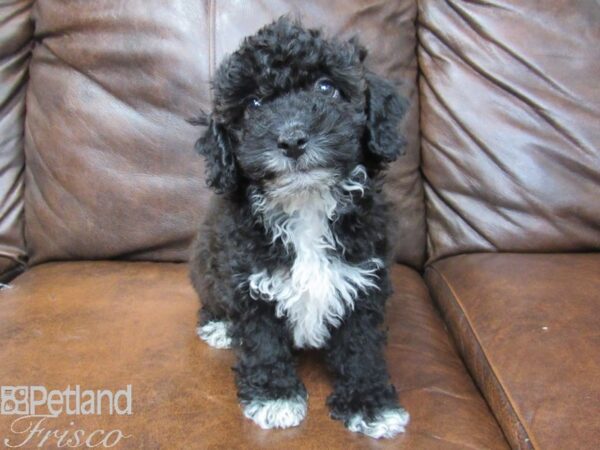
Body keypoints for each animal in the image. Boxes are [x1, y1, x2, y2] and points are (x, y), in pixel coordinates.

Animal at [190, 17, 410, 440]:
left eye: (326, 87)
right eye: (254, 105)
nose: (291, 139)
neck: (306, 204)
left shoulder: (363, 280)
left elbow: (361, 345)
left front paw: (370, 403)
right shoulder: (249, 283)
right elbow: (262, 343)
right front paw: (274, 397)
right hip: (206, 268)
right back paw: (220, 327)